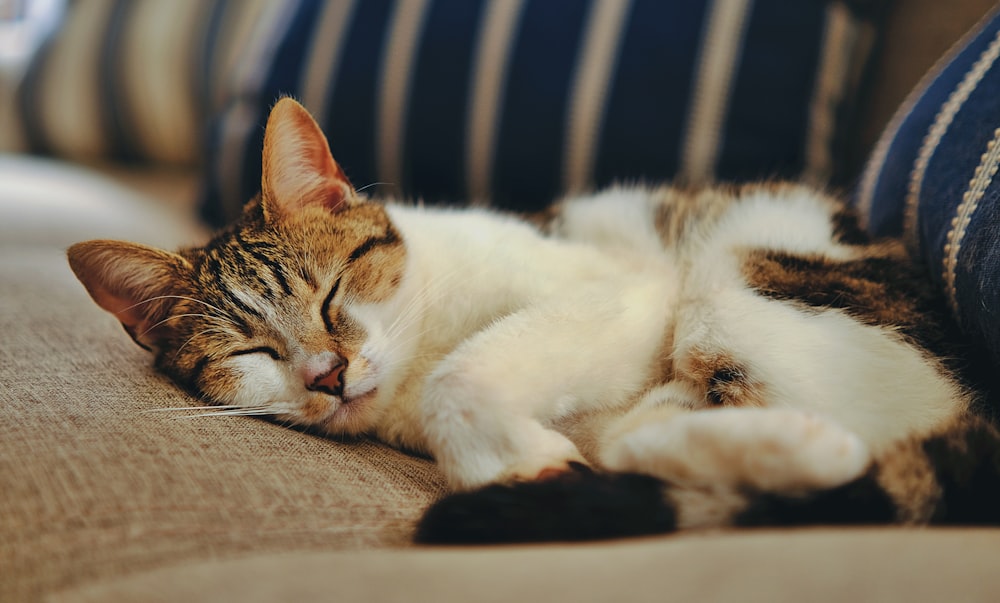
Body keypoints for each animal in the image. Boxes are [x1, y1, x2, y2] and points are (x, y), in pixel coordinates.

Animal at [66, 98, 996, 544]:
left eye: (331, 297)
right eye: (251, 349)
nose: (328, 374)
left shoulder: (622, 293)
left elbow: (463, 376)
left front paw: (515, 458)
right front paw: (537, 463)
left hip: (735, 279)